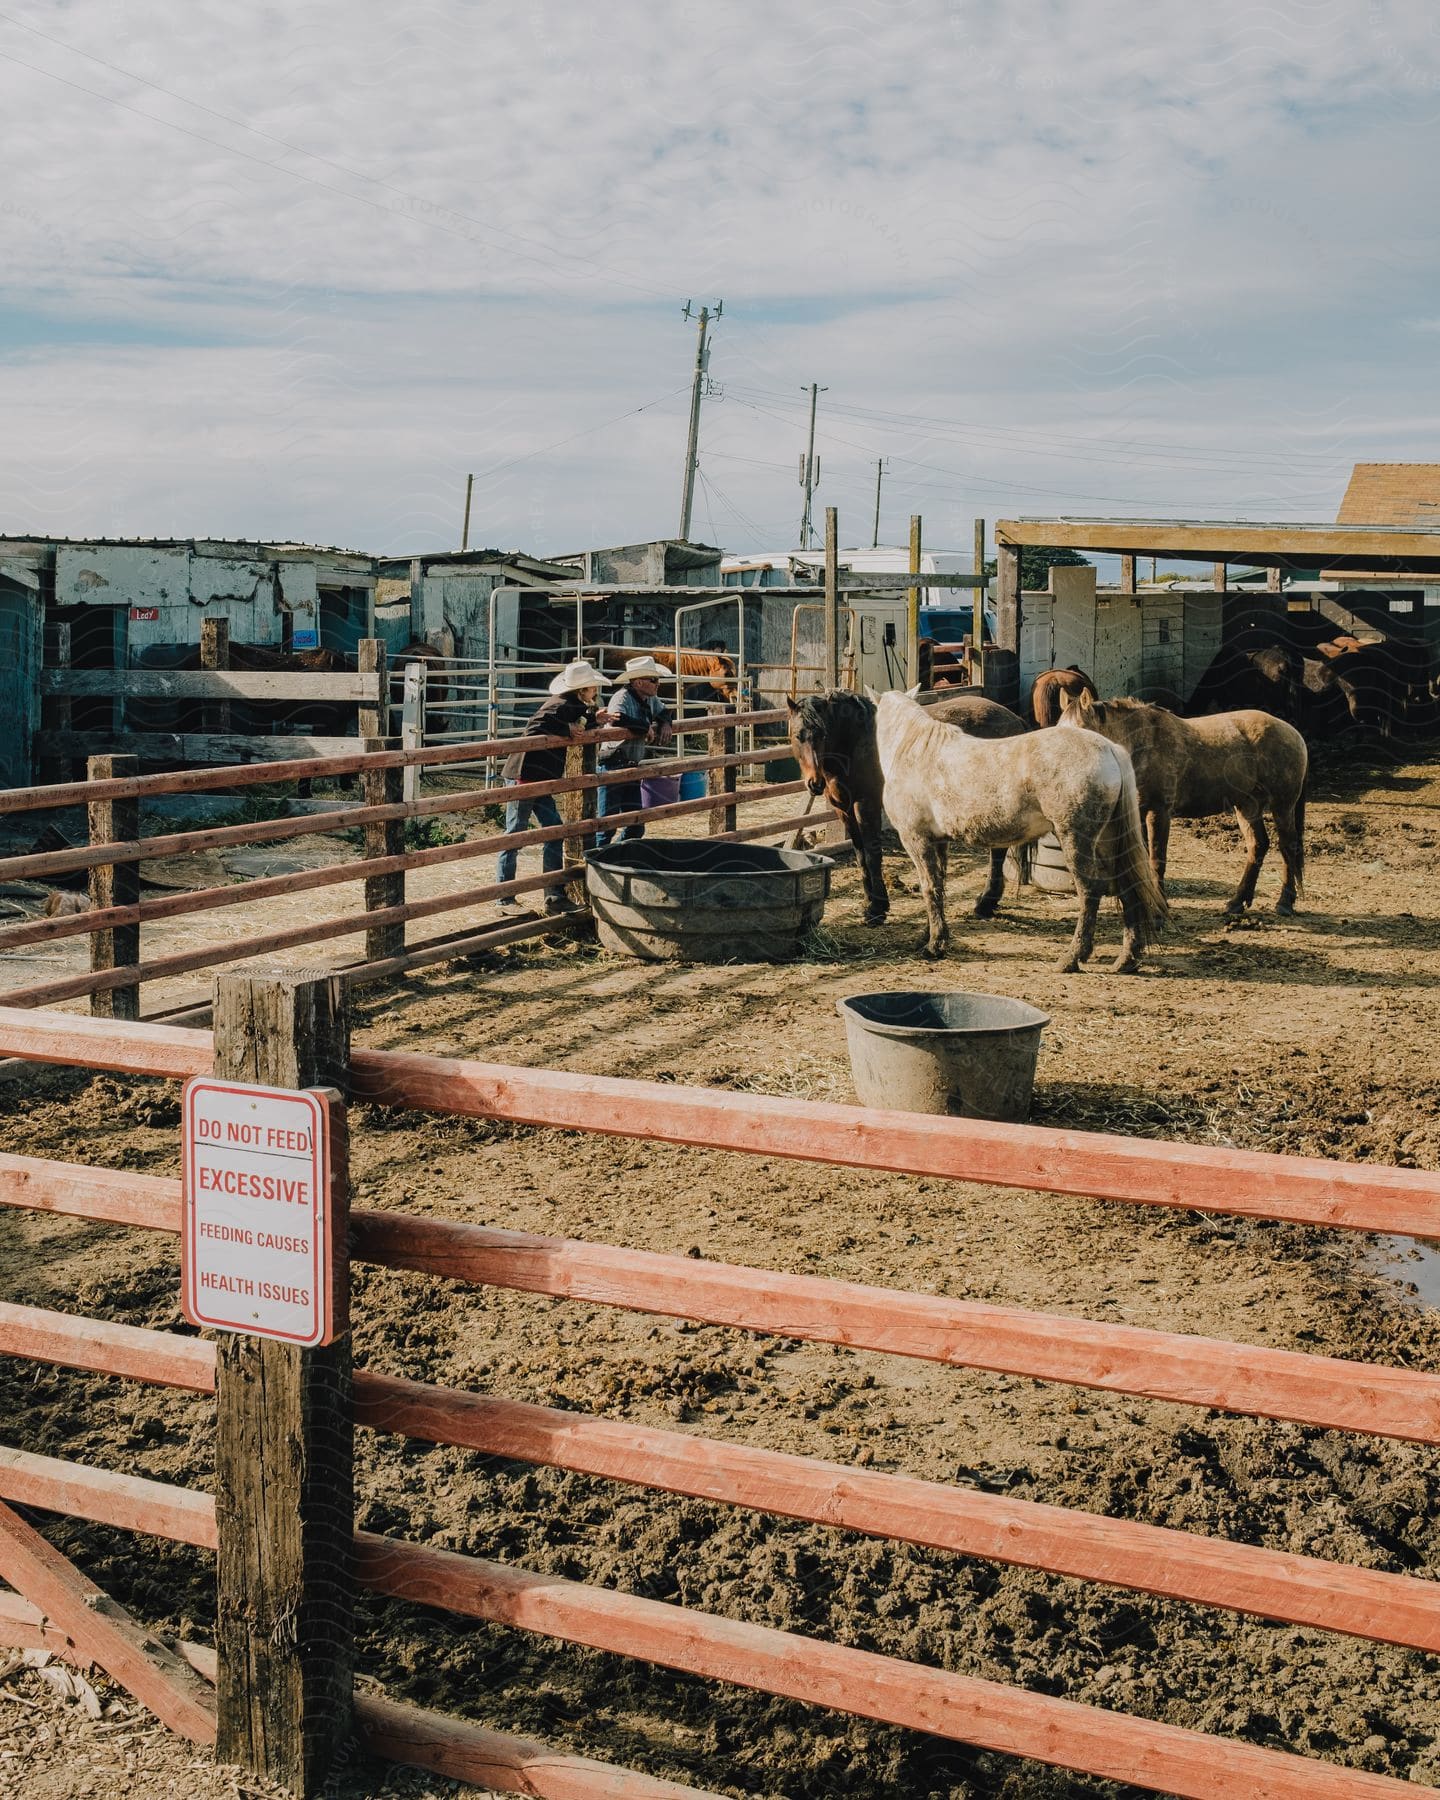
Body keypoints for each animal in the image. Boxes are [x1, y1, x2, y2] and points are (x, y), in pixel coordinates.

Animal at [781, 680, 1029, 921]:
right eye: (797, 735)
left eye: (823, 734)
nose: (815, 783)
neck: (854, 742)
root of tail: (1014, 719)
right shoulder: (843, 808)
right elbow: (860, 855)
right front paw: (868, 903)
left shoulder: (866, 803)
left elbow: (872, 853)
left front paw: (878, 908)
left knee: (998, 852)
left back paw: (985, 902)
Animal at [871, 687, 1166, 972]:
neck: (916, 751)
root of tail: (1109, 749)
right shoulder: (938, 840)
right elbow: (940, 885)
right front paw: (929, 935)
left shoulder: (916, 839)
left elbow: (929, 887)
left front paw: (934, 946)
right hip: (1108, 841)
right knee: (1127, 887)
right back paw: (1126, 959)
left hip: (1076, 839)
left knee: (1090, 892)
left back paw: (1071, 958)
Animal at [1058, 687, 1303, 914]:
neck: (1142, 745)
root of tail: (1293, 732)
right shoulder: (1138, 812)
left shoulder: (1159, 812)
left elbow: (1157, 859)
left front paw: (1161, 903)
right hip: (1247, 806)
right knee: (1258, 846)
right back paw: (1237, 902)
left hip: (1282, 806)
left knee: (1287, 847)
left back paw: (1284, 903)